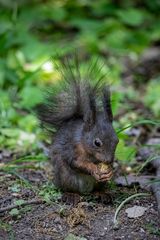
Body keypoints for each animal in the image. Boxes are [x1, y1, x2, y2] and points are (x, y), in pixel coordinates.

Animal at [36, 57, 119, 196]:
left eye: (117, 141)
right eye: (97, 143)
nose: (108, 161)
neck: (82, 139)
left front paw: (110, 171)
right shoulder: (71, 147)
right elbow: (75, 162)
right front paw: (93, 168)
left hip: (98, 184)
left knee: (98, 189)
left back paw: (102, 194)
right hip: (65, 176)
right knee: (67, 188)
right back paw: (71, 196)